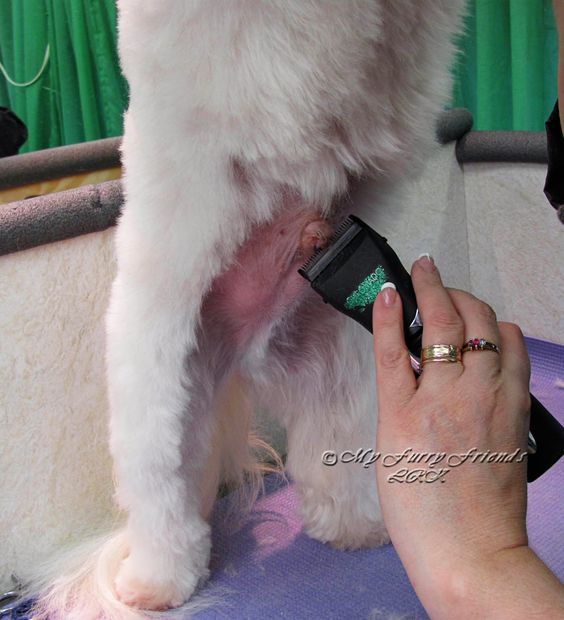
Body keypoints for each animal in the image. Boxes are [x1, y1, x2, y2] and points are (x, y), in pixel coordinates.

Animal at [29, 2, 462, 616]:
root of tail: (242, 357)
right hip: (160, 416)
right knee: (162, 504)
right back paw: (157, 583)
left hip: (332, 371)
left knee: (325, 463)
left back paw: (356, 527)